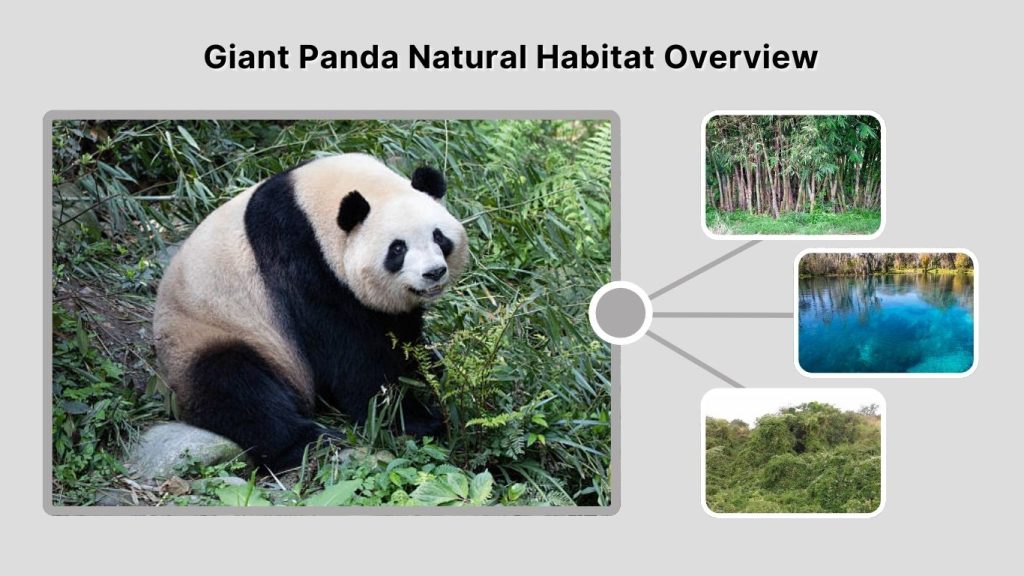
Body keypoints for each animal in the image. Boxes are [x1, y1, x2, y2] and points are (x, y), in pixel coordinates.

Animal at [153, 153, 469, 471]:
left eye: (439, 237)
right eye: (398, 249)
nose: (433, 272)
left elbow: (400, 333)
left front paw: (433, 371)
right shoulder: (301, 261)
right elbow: (351, 352)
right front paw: (413, 419)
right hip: (211, 333)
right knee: (237, 389)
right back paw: (312, 441)